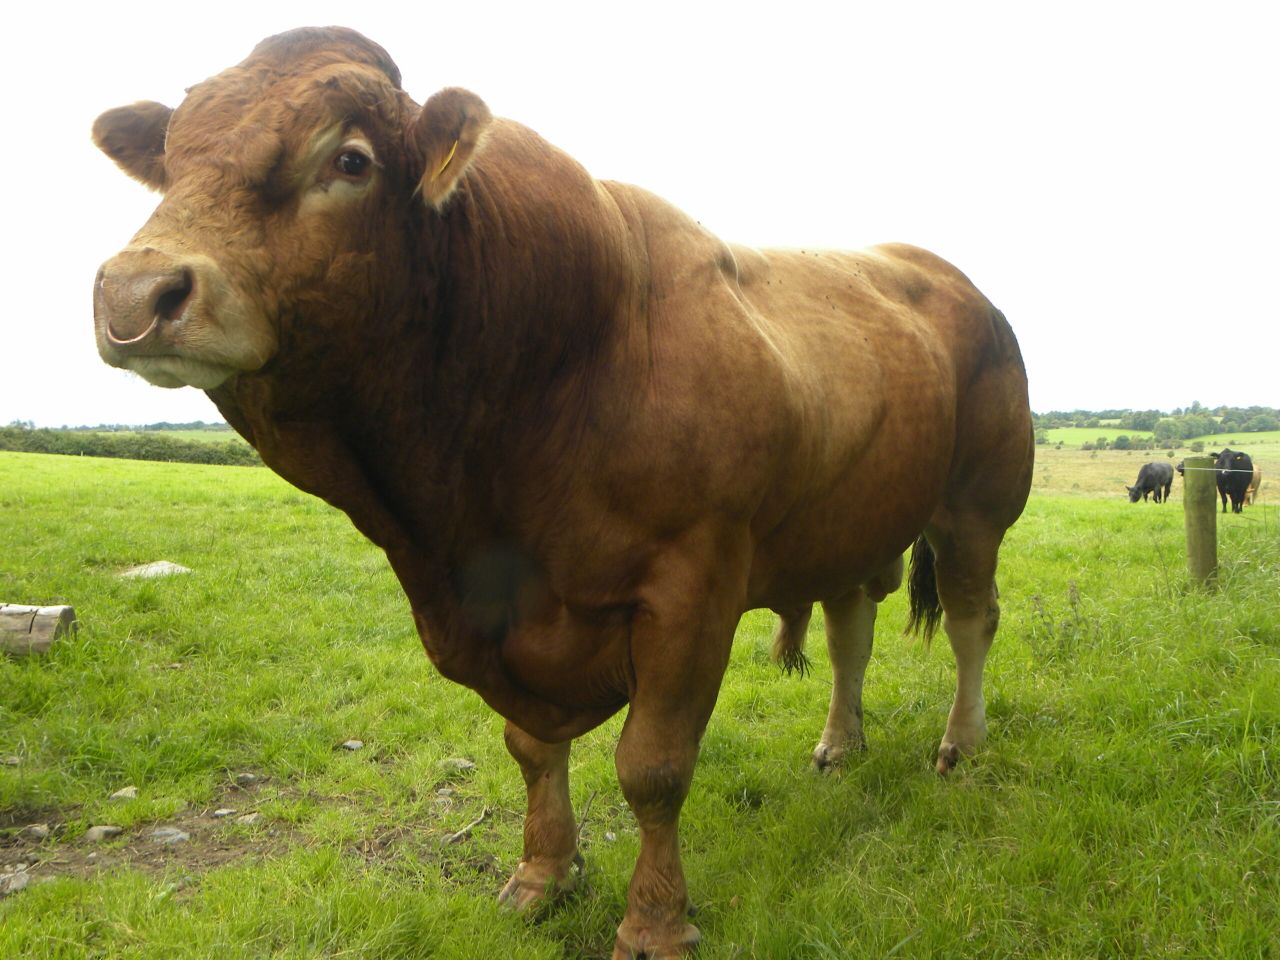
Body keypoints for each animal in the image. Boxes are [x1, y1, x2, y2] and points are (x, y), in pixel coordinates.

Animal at [91, 28, 1034, 958]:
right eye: (170, 162)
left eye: (351, 160)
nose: (134, 291)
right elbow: (531, 746)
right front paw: (543, 875)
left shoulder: (692, 587)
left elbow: (653, 767)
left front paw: (655, 921)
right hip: (850, 521)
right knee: (849, 633)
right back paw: (841, 745)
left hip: (978, 507)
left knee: (970, 622)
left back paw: (960, 745)